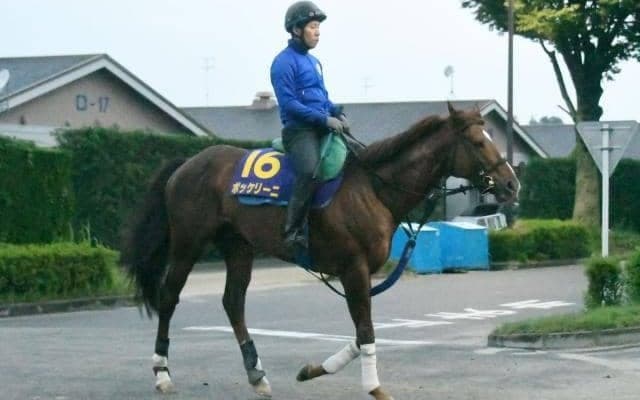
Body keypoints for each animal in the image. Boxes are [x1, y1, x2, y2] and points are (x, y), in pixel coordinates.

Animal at [120, 102, 520, 400]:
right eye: (477, 141)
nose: (511, 183)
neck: (372, 188)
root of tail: (187, 164)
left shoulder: (360, 274)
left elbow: (361, 332)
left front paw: (314, 370)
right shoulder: (354, 269)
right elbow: (366, 331)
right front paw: (374, 387)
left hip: (238, 246)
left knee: (233, 301)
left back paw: (256, 374)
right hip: (188, 243)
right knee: (169, 297)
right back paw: (162, 372)